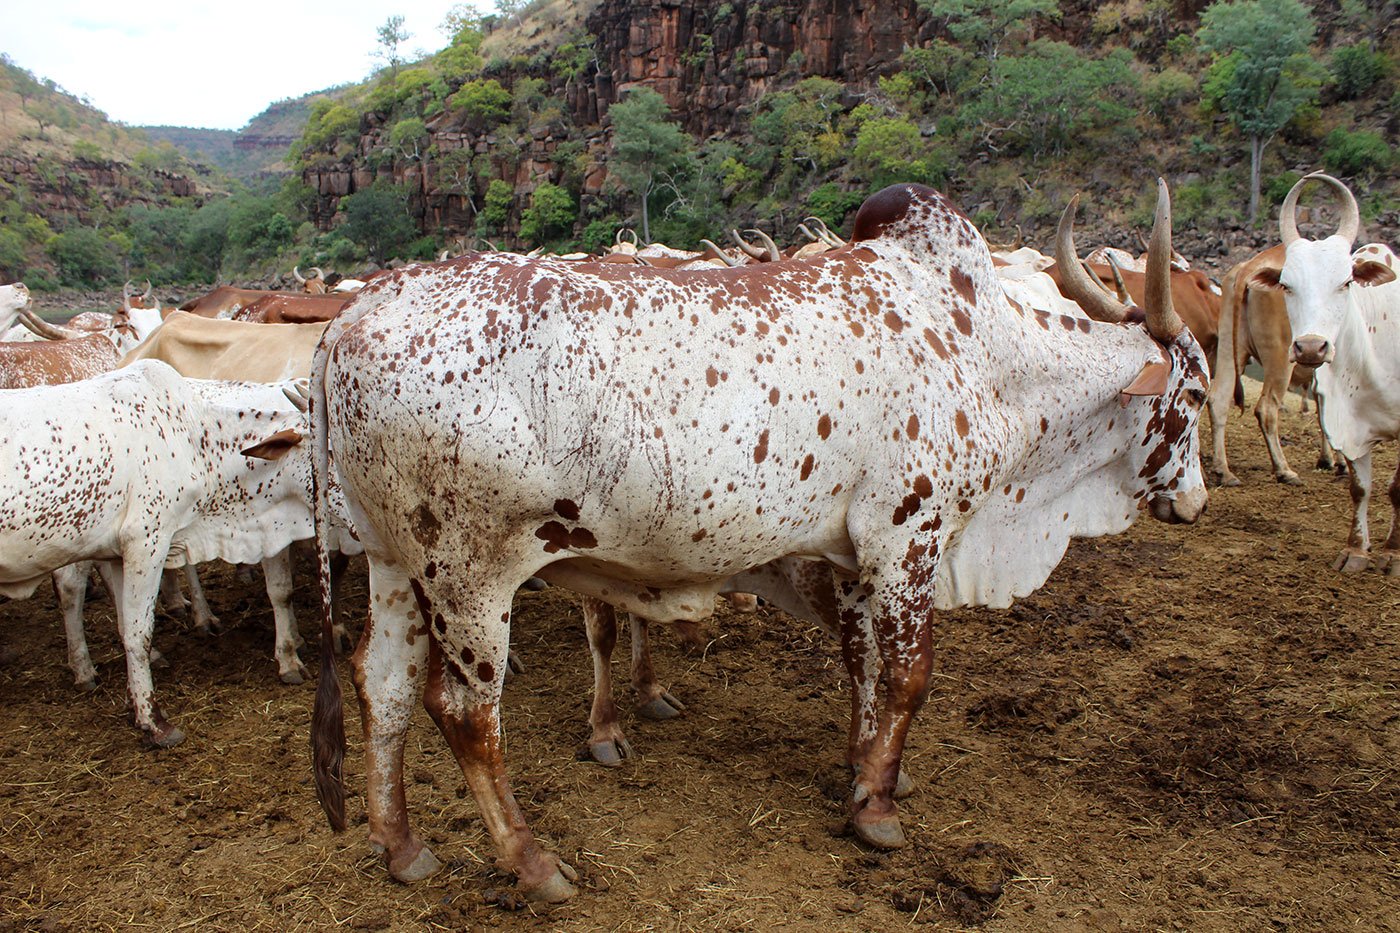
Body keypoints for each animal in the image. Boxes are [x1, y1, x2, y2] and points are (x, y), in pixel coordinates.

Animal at [303, 177, 1204, 896]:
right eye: (1193, 394)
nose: (1194, 500)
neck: (988, 350)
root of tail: (358, 310)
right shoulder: (907, 538)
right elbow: (907, 677)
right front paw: (877, 809)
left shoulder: (850, 556)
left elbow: (863, 667)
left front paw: (866, 771)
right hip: (469, 575)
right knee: (464, 712)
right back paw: (532, 862)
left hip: (393, 563)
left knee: (381, 683)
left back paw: (402, 846)